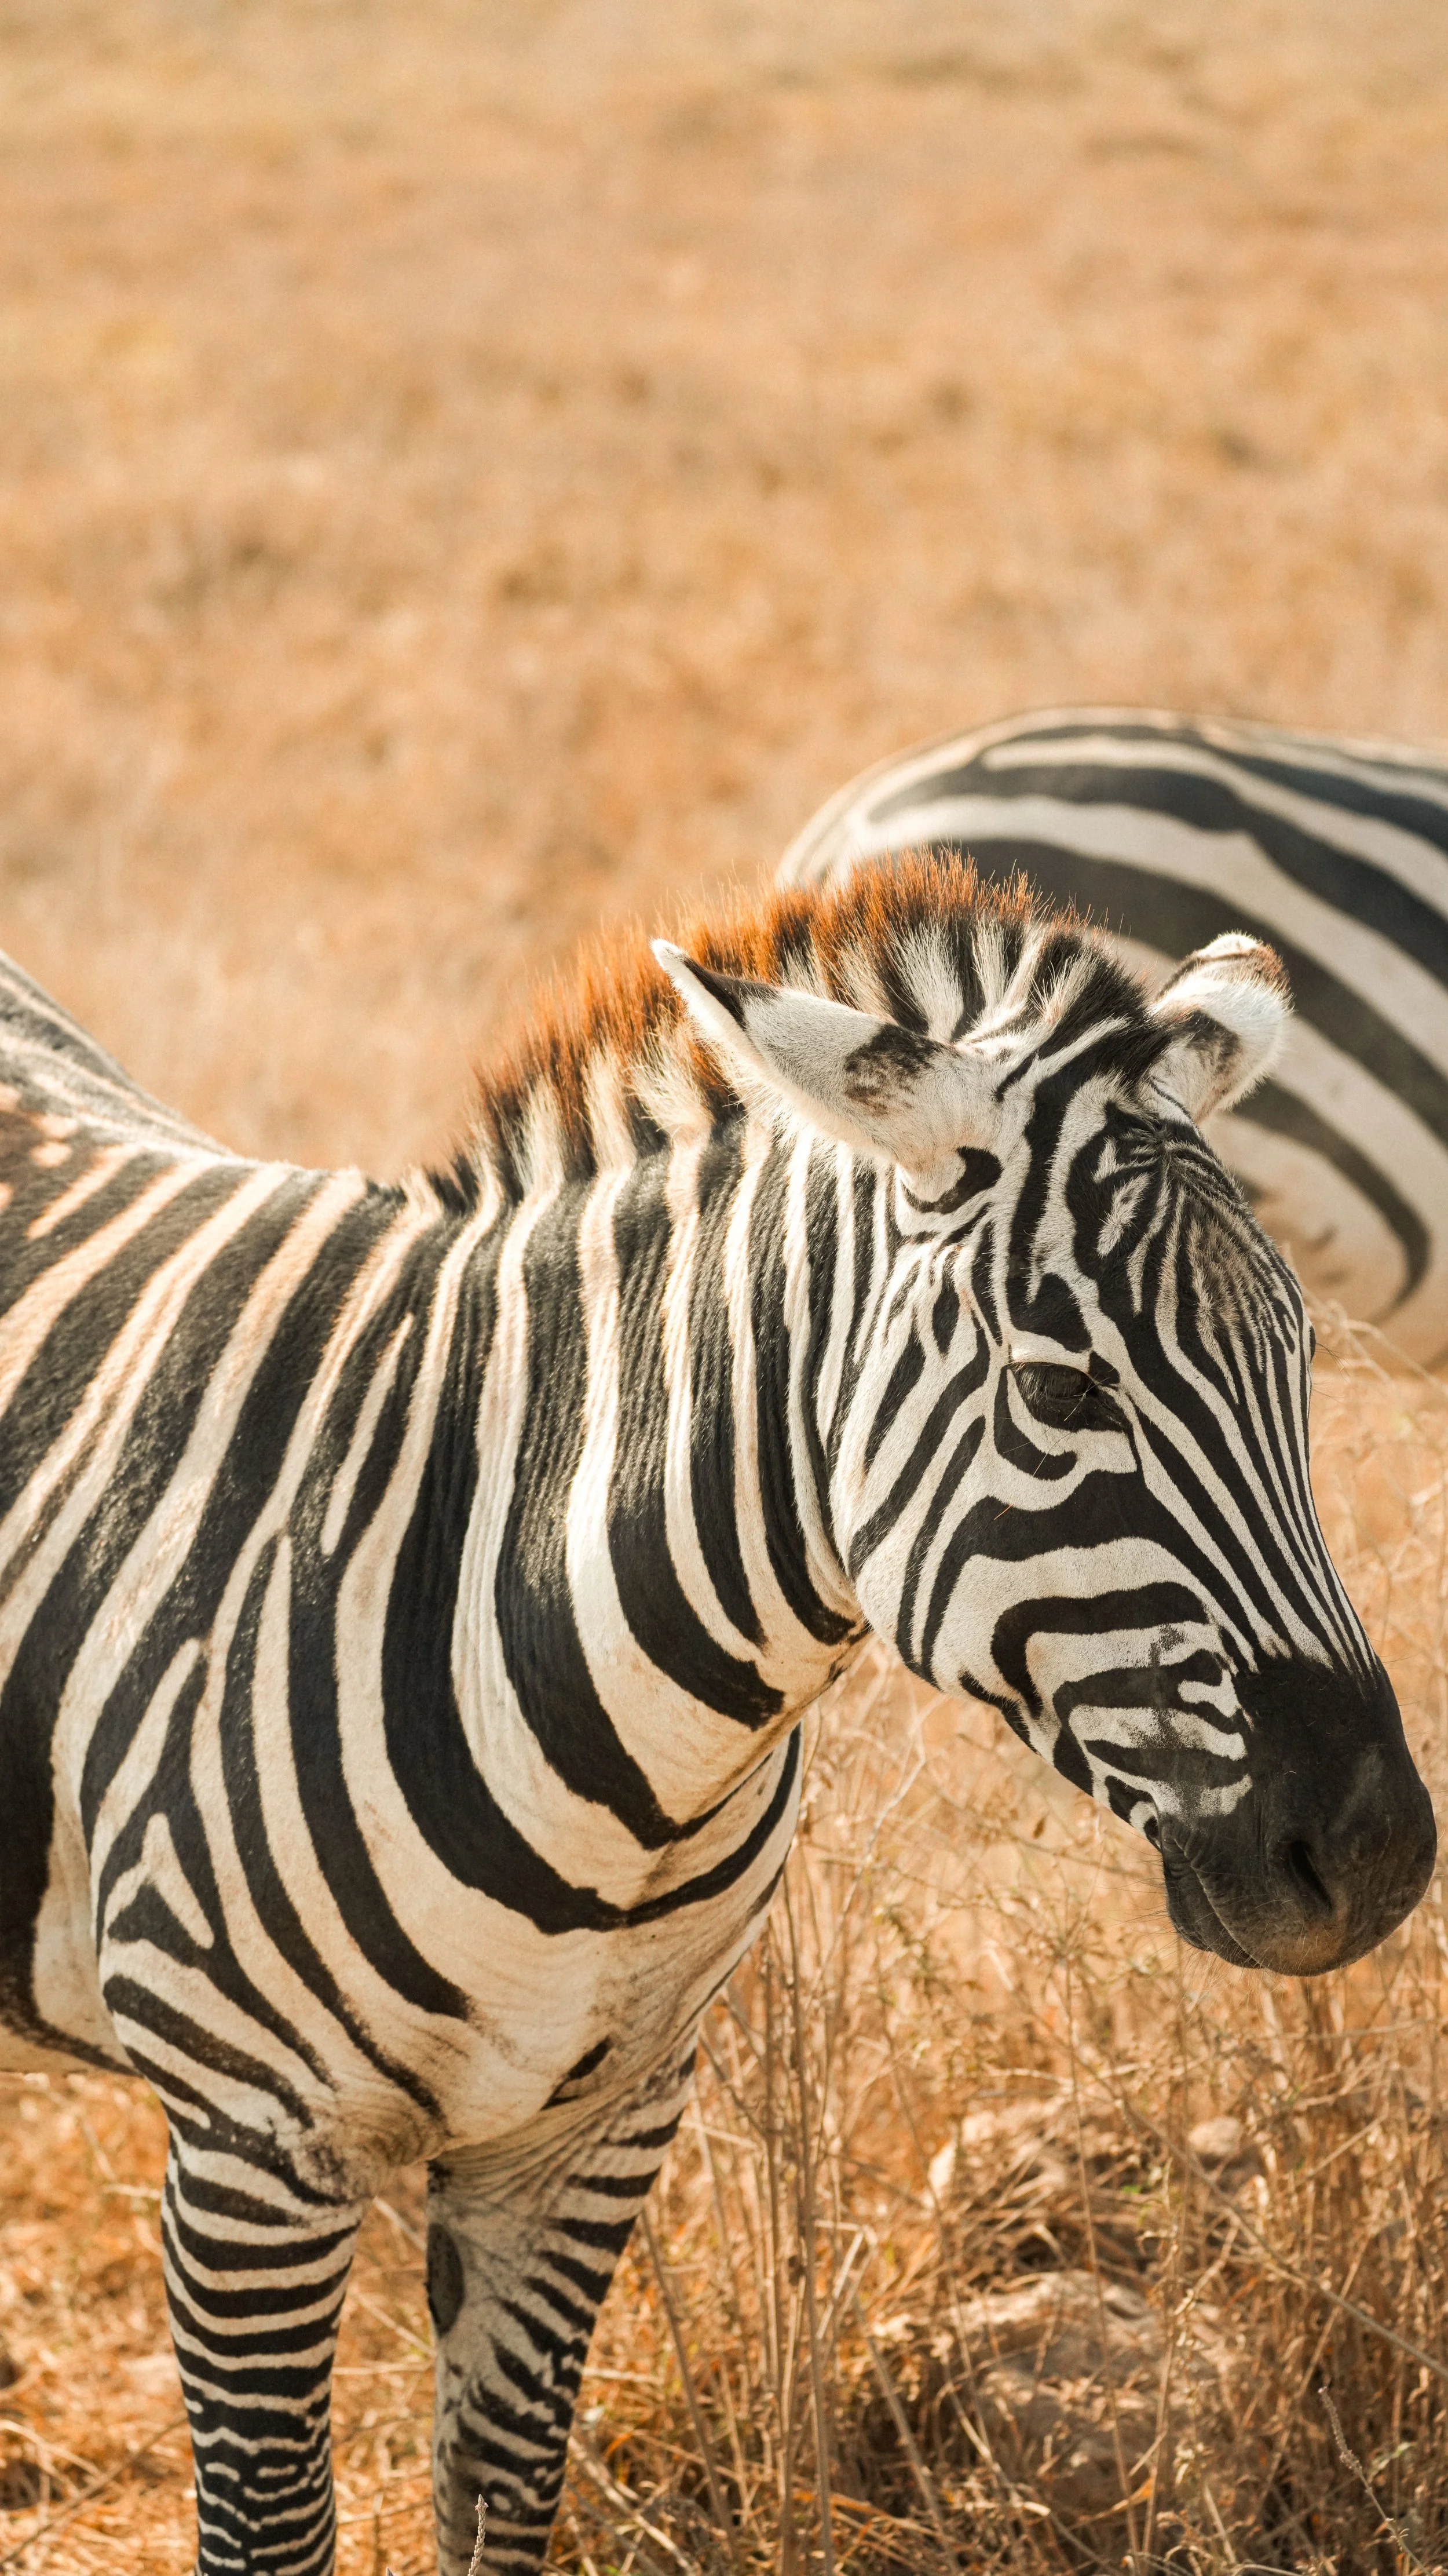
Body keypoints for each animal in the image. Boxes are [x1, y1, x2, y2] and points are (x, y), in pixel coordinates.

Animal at [0, 860, 1434, 2576]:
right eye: (1059, 1391)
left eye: (1297, 1362)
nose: (1374, 1851)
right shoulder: (251, 2149)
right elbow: (271, 2531)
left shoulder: (595, 2131)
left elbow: (502, 2501)